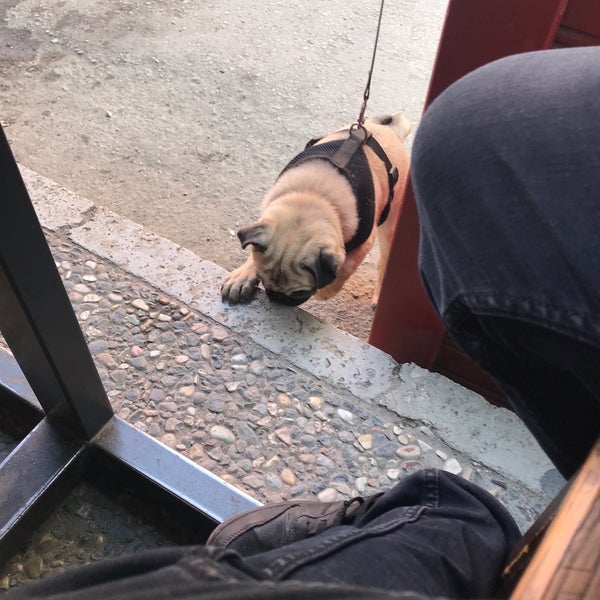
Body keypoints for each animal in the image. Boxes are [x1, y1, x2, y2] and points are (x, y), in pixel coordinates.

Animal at [223, 114, 410, 308]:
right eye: (262, 279)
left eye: (300, 292)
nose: (276, 298)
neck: (313, 195)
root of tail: (391, 130)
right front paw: (243, 275)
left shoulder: (363, 245)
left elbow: (343, 268)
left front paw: (325, 290)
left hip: (390, 230)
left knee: (384, 262)